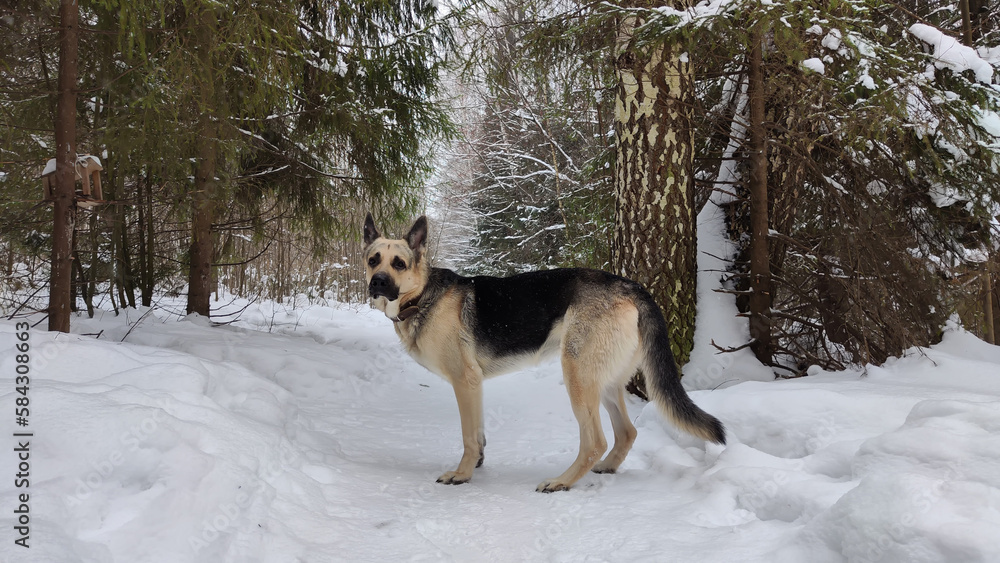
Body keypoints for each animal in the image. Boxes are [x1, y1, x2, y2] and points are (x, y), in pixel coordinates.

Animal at [364, 214, 724, 492]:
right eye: (372, 260)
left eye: (399, 263)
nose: (377, 282)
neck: (421, 296)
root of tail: (631, 286)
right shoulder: (474, 386)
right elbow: (478, 434)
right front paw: (477, 463)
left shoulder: (465, 382)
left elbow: (468, 436)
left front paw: (462, 474)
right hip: (603, 381)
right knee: (626, 432)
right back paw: (606, 467)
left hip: (577, 374)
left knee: (596, 441)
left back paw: (562, 481)